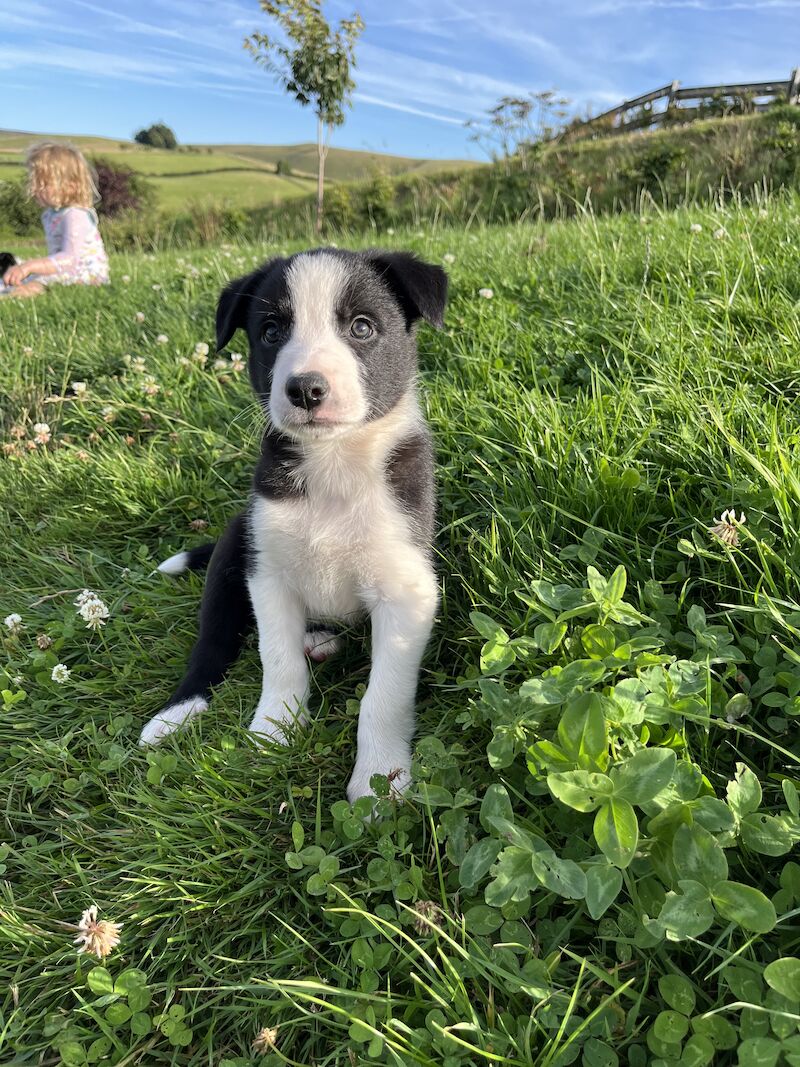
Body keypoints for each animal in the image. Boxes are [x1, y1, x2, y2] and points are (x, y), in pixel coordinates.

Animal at [139, 249, 448, 802]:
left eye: (362, 327)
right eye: (270, 332)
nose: (305, 387)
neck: (334, 465)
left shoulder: (406, 591)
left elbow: (383, 694)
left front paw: (379, 779)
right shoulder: (268, 573)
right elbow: (278, 659)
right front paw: (274, 730)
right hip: (232, 551)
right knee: (211, 648)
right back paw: (175, 714)